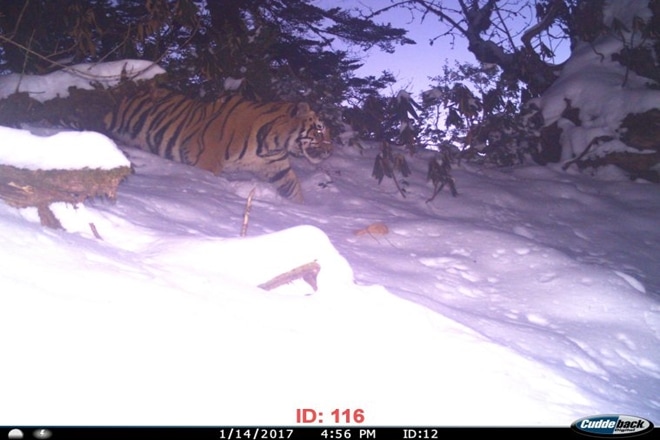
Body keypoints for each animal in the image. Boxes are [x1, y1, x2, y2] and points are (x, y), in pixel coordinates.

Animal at [102, 86, 332, 202]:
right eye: (320, 129)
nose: (330, 151)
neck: (273, 143)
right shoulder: (207, 162)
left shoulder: (277, 168)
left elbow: (293, 189)